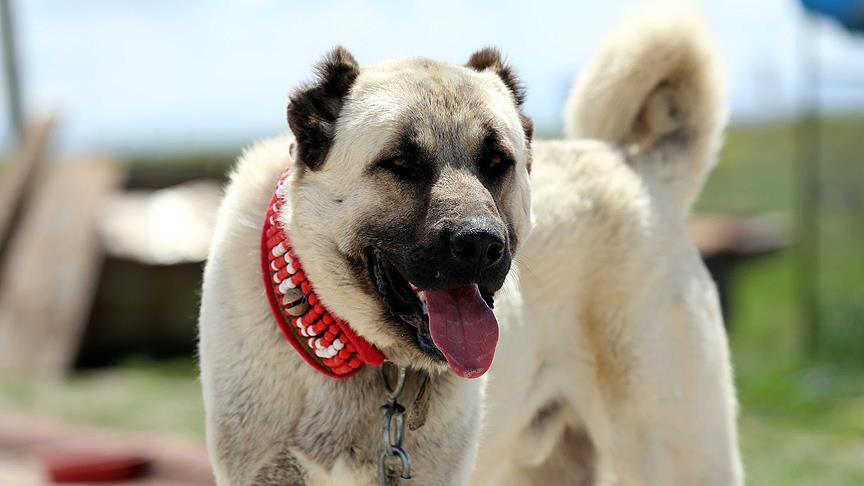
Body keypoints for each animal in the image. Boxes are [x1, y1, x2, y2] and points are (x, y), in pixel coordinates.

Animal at [197, 7, 744, 486]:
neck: (372, 359)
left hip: (676, 451)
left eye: (497, 161)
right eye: (400, 162)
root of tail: (640, 167)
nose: (481, 244)